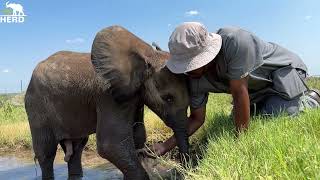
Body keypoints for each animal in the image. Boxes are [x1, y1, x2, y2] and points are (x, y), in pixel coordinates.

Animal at [25, 26, 190, 179]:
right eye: (168, 98)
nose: (183, 171)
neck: (148, 55)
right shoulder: (107, 95)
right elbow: (111, 145)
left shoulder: (134, 94)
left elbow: (138, 135)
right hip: (36, 107)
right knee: (46, 152)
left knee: (77, 148)